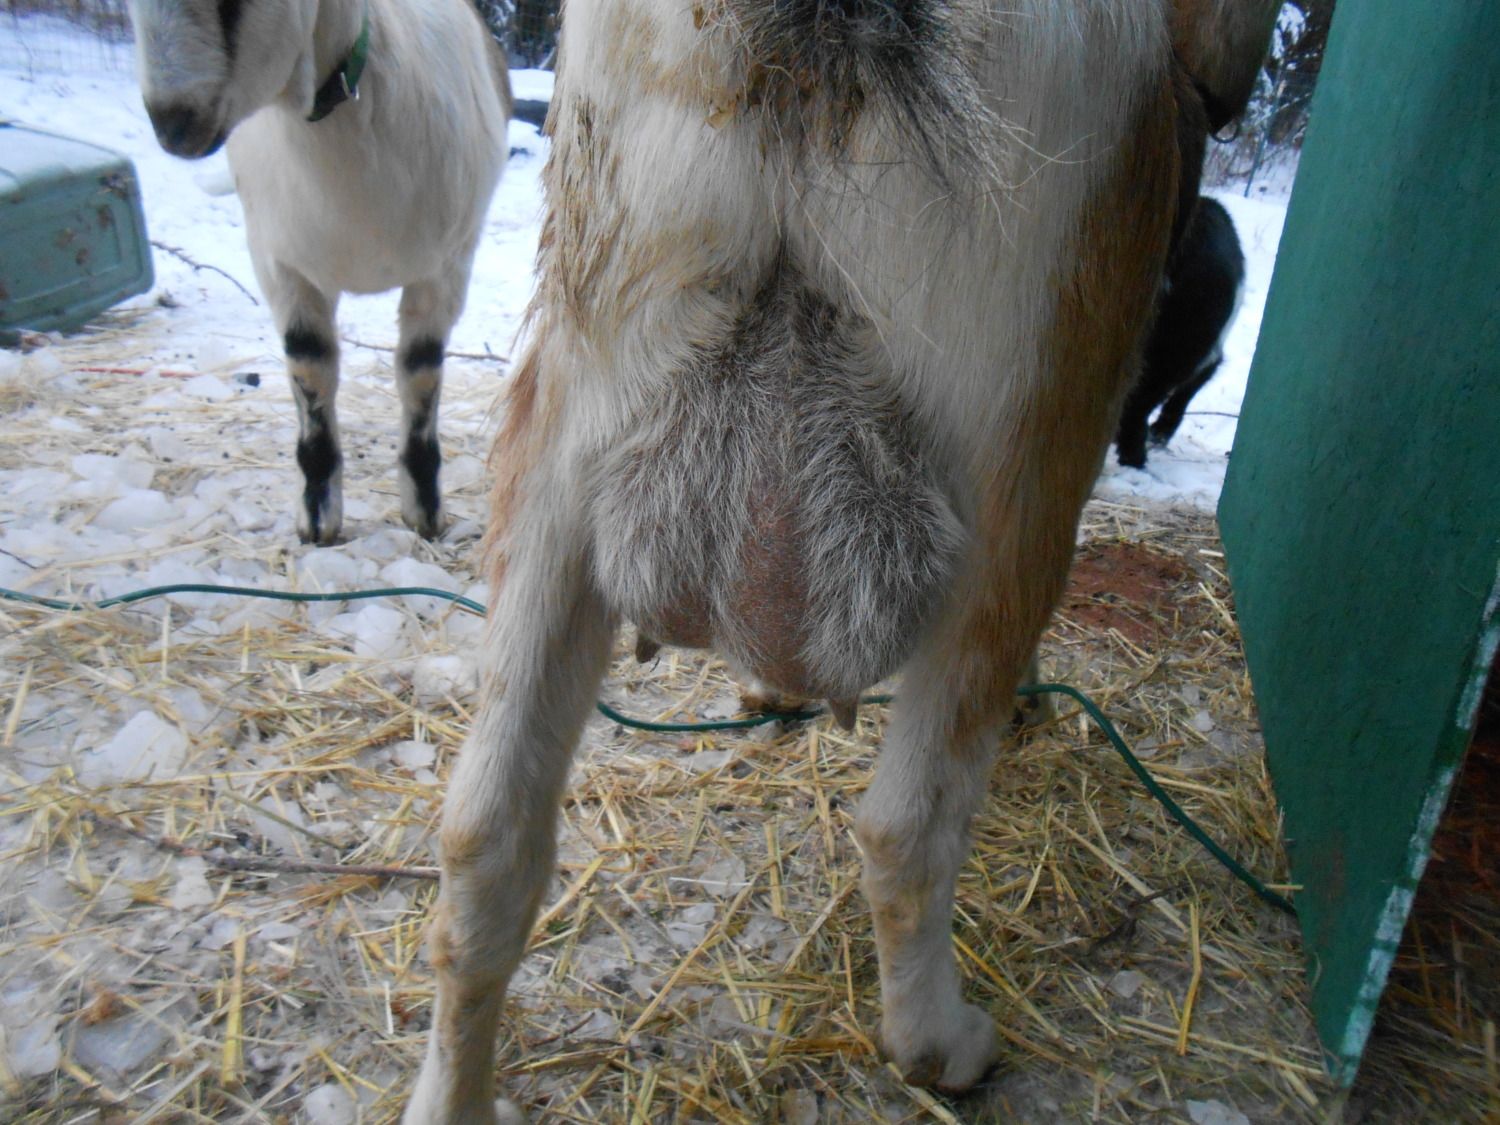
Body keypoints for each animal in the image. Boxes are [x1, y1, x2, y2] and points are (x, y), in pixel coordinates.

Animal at [127, 0, 512, 544]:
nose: (173, 125)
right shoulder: (281, 263)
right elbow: (310, 367)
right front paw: (317, 518)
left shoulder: (448, 264)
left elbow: (420, 372)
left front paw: (425, 512)